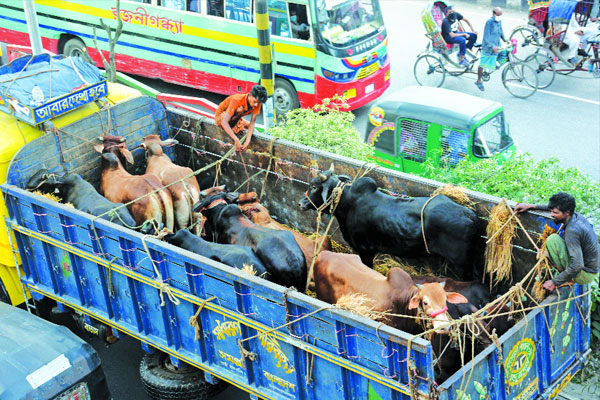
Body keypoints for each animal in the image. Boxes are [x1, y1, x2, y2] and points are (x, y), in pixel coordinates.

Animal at [298, 166, 486, 278]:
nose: (300, 203)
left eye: (314, 186)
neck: (348, 204)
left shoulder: (365, 250)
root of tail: (469, 214)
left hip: (462, 264)